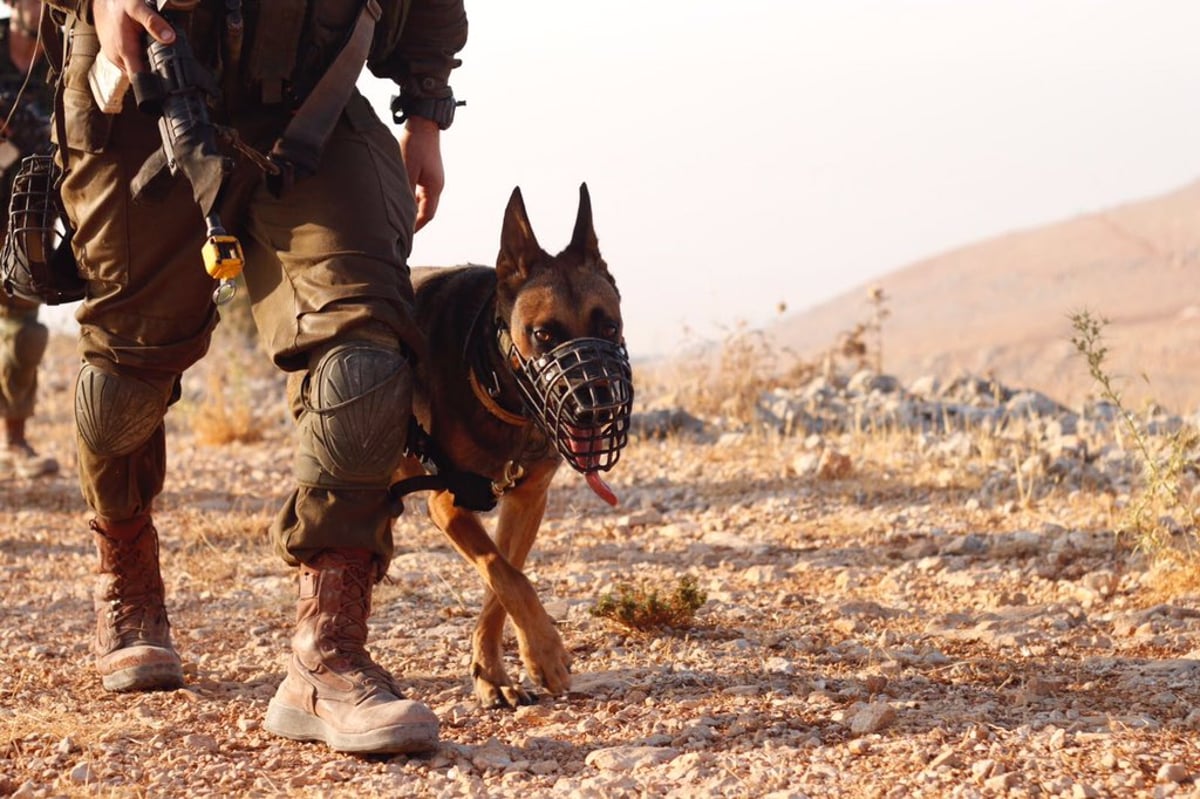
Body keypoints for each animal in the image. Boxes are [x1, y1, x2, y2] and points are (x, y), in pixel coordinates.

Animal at [396, 183, 638, 705]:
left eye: (609, 327)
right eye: (543, 333)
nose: (595, 410)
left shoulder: (528, 501)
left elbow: (502, 582)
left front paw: (493, 673)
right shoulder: (446, 503)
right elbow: (504, 571)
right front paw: (545, 652)